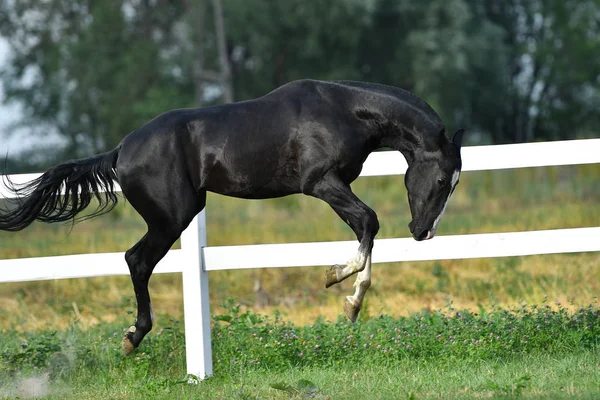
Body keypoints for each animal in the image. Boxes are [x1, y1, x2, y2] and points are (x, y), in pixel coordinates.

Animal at [0, 79, 464, 354]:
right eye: (444, 178)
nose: (423, 232)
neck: (344, 112)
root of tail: (120, 151)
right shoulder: (320, 183)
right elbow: (369, 222)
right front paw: (340, 285)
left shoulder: (336, 186)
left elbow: (366, 230)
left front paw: (350, 301)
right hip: (171, 217)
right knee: (137, 261)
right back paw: (134, 336)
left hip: (179, 214)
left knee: (137, 260)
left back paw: (135, 336)